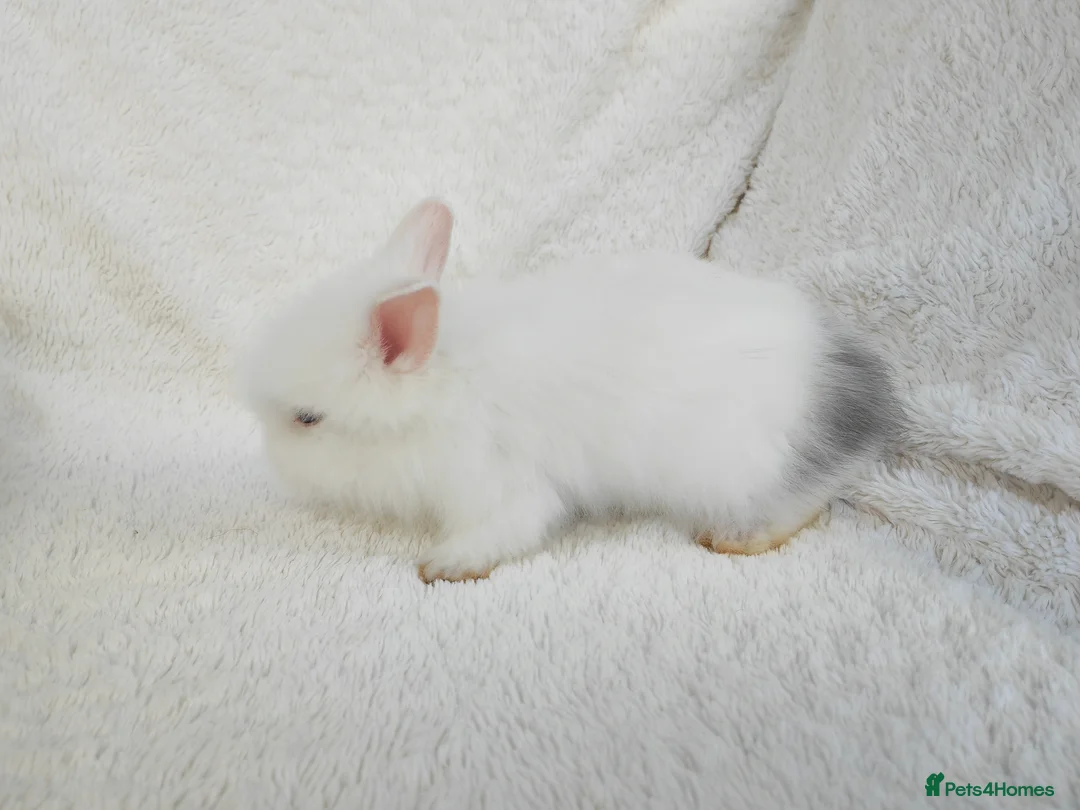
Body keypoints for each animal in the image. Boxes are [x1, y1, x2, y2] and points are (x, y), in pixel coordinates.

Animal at [236, 198, 904, 583]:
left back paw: (738, 541)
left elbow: (508, 528)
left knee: (808, 502)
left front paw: (443, 565)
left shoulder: (498, 481)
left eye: (307, 419)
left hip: (736, 470)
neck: (445, 380)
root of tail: (857, 389)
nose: (274, 467)